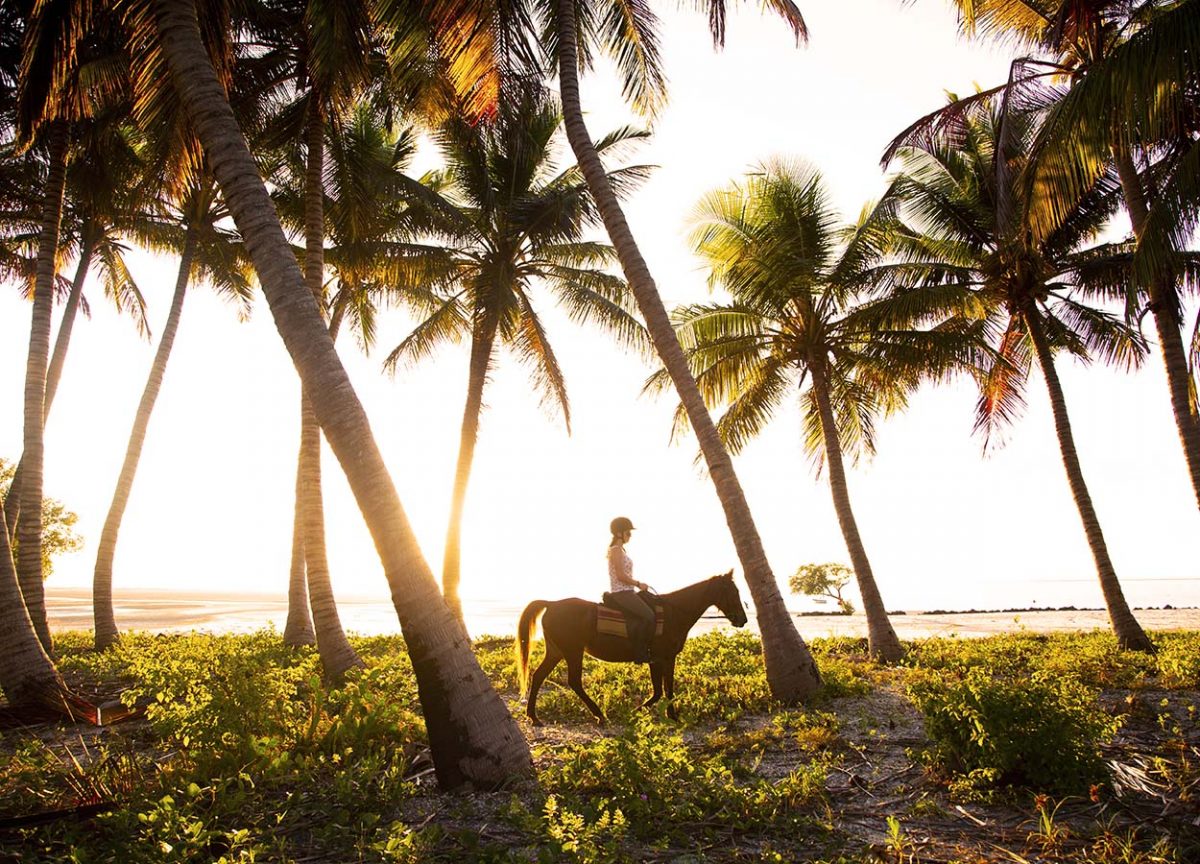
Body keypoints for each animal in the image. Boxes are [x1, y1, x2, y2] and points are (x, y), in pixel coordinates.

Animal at [516, 571, 748, 724]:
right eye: (732, 591)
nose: (743, 619)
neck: (673, 613)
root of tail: (552, 604)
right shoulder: (663, 658)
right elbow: (664, 690)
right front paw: (653, 713)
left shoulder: (661, 659)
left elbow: (662, 690)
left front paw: (665, 714)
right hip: (573, 652)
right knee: (574, 682)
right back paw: (599, 714)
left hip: (556, 651)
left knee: (538, 676)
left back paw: (534, 716)